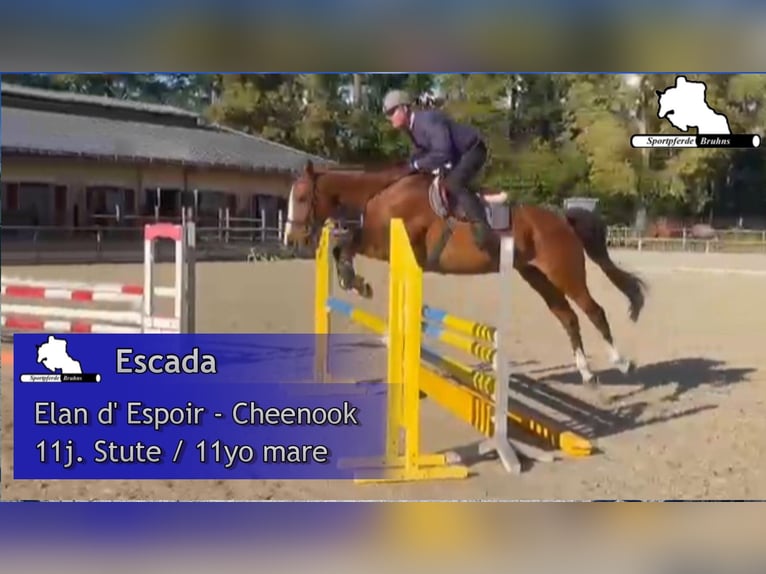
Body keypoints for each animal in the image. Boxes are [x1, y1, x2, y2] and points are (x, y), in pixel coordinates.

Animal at [284, 160, 647, 392]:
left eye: (301, 198)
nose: (291, 240)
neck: (383, 195)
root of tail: (562, 220)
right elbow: (341, 247)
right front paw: (356, 283)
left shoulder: (388, 242)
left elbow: (346, 244)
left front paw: (358, 284)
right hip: (537, 276)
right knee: (567, 316)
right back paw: (586, 373)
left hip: (564, 273)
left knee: (594, 311)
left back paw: (621, 363)